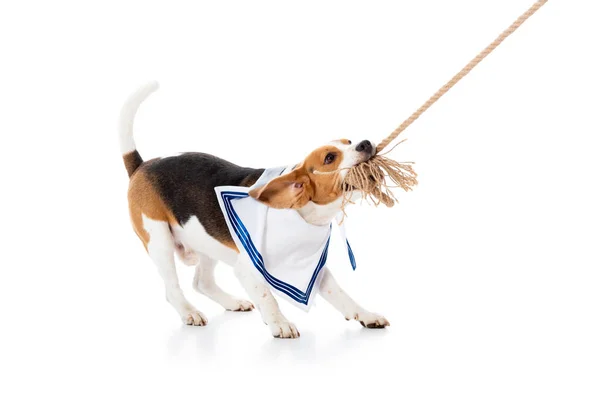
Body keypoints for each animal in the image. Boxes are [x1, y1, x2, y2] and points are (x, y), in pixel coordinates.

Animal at [120, 83, 392, 340]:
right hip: (160, 241)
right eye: (329, 158)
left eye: (349, 142)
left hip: (206, 241)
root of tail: (143, 166)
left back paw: (232, 302)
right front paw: (280, 323)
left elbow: (341, 294)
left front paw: (366, 315)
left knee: (202, 282)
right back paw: (190, 312)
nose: (365, 143)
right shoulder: (247, 268)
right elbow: (267, 297)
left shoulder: (310, 266)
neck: (302, 213)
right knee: (172, 288)